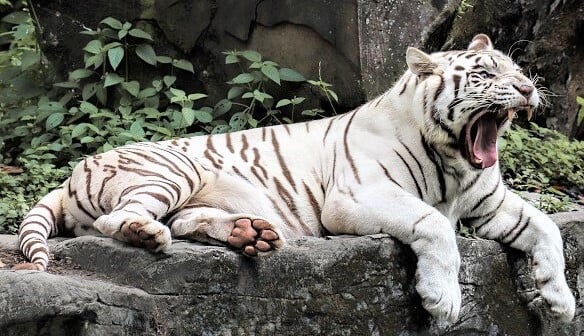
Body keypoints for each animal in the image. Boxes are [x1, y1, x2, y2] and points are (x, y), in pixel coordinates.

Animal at [13, 34, 576, 322]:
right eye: (485, 74)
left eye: (515, 69)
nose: (528, 88)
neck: (455, 160)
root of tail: (72, 174)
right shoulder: (356, 197)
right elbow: (434, 225)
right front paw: (444, 299)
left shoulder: (491, 203)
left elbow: (548, 228)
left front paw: (560, 300)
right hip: (170, 172)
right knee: (119, 221)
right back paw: (149, 234)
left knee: (189, 220)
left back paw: (251, 235)